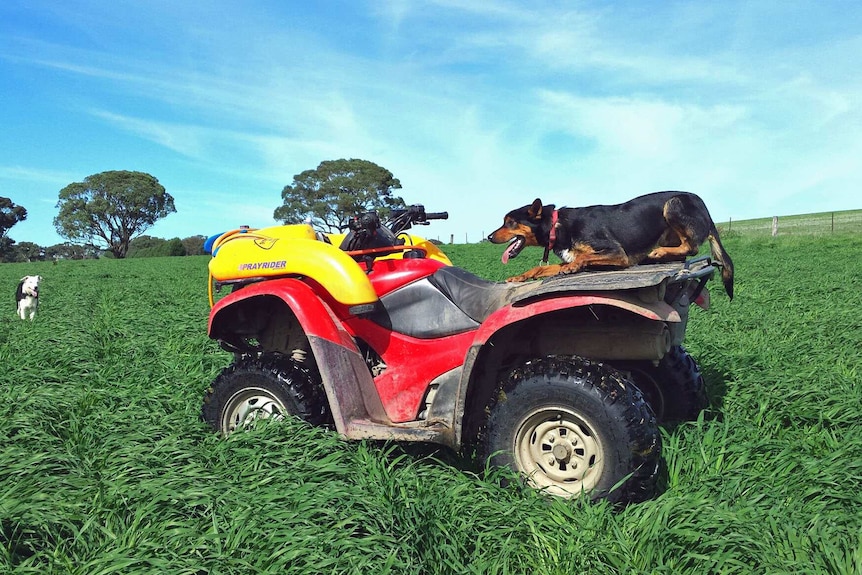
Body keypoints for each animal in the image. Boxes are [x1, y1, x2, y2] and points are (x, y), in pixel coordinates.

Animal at [490, 192, 740, 302]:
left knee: (692, 248)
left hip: (672, 204)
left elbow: (583, 259)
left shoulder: (617, 254)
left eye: (510, 222)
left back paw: (656, 253)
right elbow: (540, 268)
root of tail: (706, 209)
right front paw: (519, 277)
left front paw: (574, 268)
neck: (556, 225)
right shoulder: (565, 258)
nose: (490, 237)